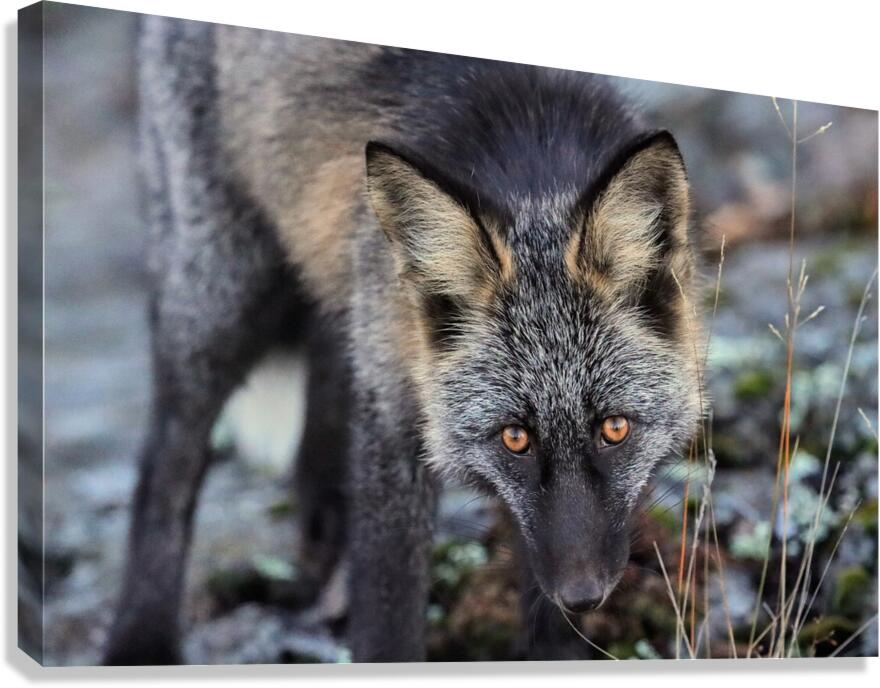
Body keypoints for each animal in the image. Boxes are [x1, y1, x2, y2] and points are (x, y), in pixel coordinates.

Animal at [103, 13, 703, 665]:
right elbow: (388, 620)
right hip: (222, 304)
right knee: (165, 467)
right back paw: (140, 642)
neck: (534, 166)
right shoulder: (393, 417)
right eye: (514, 438)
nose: (583, 594)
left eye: (614, 429)